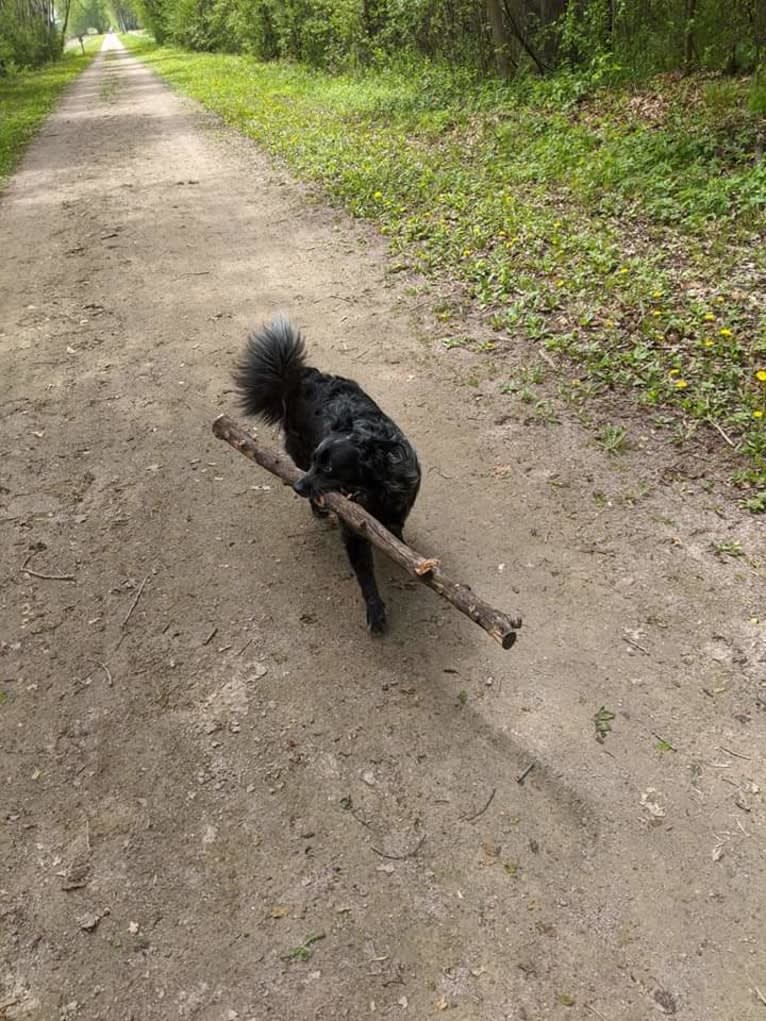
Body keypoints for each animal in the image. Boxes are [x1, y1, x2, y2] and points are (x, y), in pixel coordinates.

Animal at [235, 314, 422, 633]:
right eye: (315, 463)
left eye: (330, 468)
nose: (297, 487)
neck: (376, 485)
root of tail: (300, 376)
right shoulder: (355, 527)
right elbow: (366, 575)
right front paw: (375, 610)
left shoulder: (398, 508)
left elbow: (397, 539)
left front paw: (406, 558)